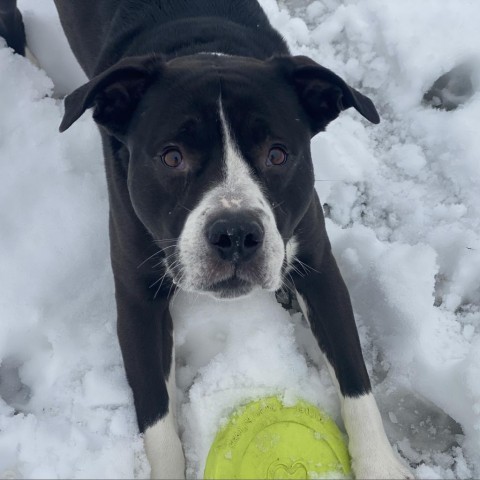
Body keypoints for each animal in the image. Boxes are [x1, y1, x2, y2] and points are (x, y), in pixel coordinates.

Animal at [0, 0, 412, 478]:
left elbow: (354, 376)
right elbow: (158, 423)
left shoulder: (317, 266)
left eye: (278, 154)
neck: (203, 48)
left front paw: (380, 464)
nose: (235, 232)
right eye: (171, 157)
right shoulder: (138, 298)